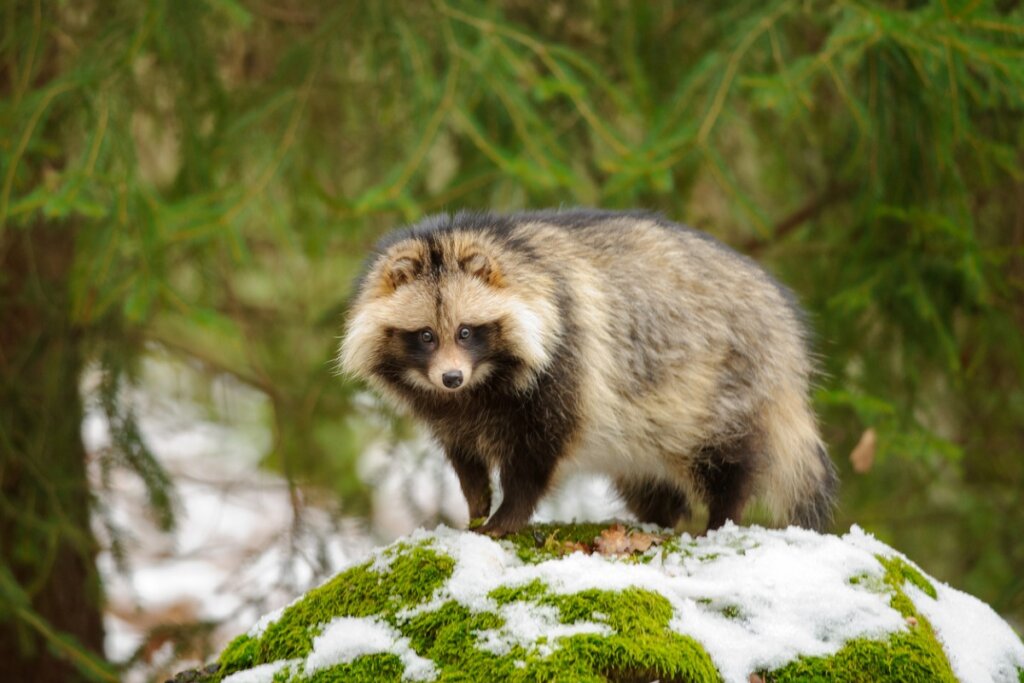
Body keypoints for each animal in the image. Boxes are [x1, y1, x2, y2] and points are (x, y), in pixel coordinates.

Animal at [339, 209, 835, 540]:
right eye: (425, 335)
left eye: (465, 331)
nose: (451, 378)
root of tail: (785, 327)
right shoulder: (448, 410)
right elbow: (464, 455)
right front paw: (476, 502)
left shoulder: (567, 358)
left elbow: (537, 453)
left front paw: (508, 514)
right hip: (651, 428)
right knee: (650, 482)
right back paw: (657, 519)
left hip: (724, 384)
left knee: (729, 461)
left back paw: (720, 518)